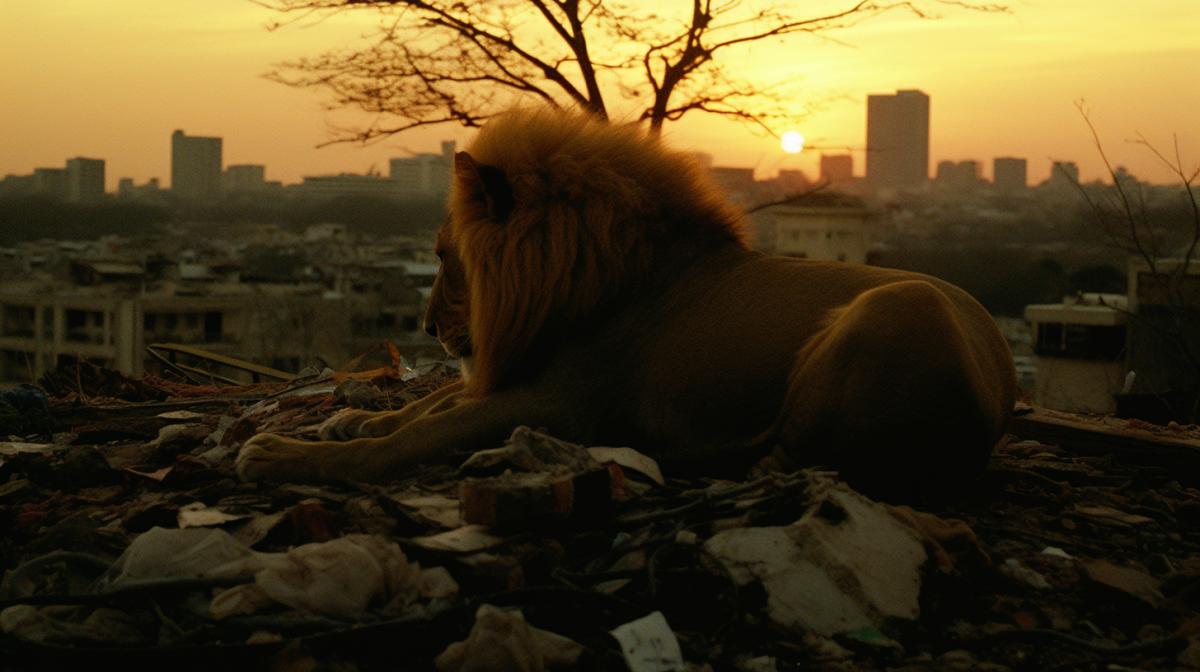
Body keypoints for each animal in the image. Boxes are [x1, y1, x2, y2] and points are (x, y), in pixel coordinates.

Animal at [237, 108, 1017, 501]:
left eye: (441, 254)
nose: (426, 326)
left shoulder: (560, 400)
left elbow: (415, 435)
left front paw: (283, 453)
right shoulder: (523, 371)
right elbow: (429, 404)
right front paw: (347, 419)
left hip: (901, 304)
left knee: (795, 452)